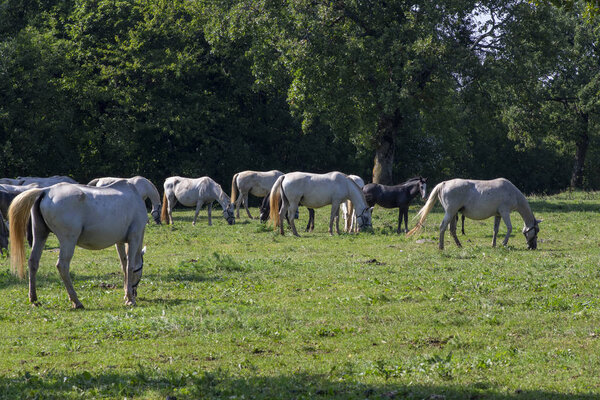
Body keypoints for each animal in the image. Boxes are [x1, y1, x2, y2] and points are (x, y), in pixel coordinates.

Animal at [8, 181, 148, 310]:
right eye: (140, 270)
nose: (134, 292)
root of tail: (46, 190)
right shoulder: (134, 237)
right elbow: (129, 266)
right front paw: (130, 299)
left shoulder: (119, 242)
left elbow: (124, 265)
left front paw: (126, 294)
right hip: (68, 240)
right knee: (62, 265)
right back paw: (76, 301)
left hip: (40, 234)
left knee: (33, 262)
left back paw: (34, 299)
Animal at [406, 177, 540, 248]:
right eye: (536, 231)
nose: (532, 247)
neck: (511, 192)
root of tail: (443, 184)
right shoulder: (505, 212)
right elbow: (509, 228)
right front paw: (504, 243)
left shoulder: (498, 215)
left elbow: (496, 230)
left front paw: (493, 244)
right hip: (450, 212)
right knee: (442, 227)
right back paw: (441, 246)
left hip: (453, 214)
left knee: (452, 230)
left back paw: (459, 245)